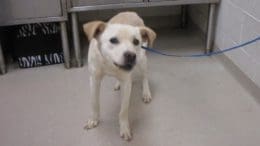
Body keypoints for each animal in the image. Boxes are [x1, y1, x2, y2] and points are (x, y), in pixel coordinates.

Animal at [83, 12, 155, 141]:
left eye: (136, 41)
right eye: (113, 40)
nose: (131, 55)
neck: (109, 64)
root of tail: (131, 12)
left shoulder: (127, 84)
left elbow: (123, 110)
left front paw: (124, 128)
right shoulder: (94, 80)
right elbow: (94, 103)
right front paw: (94, 120)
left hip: (142, 60)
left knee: (145, 77)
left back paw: (146, 93)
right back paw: (117, 84)